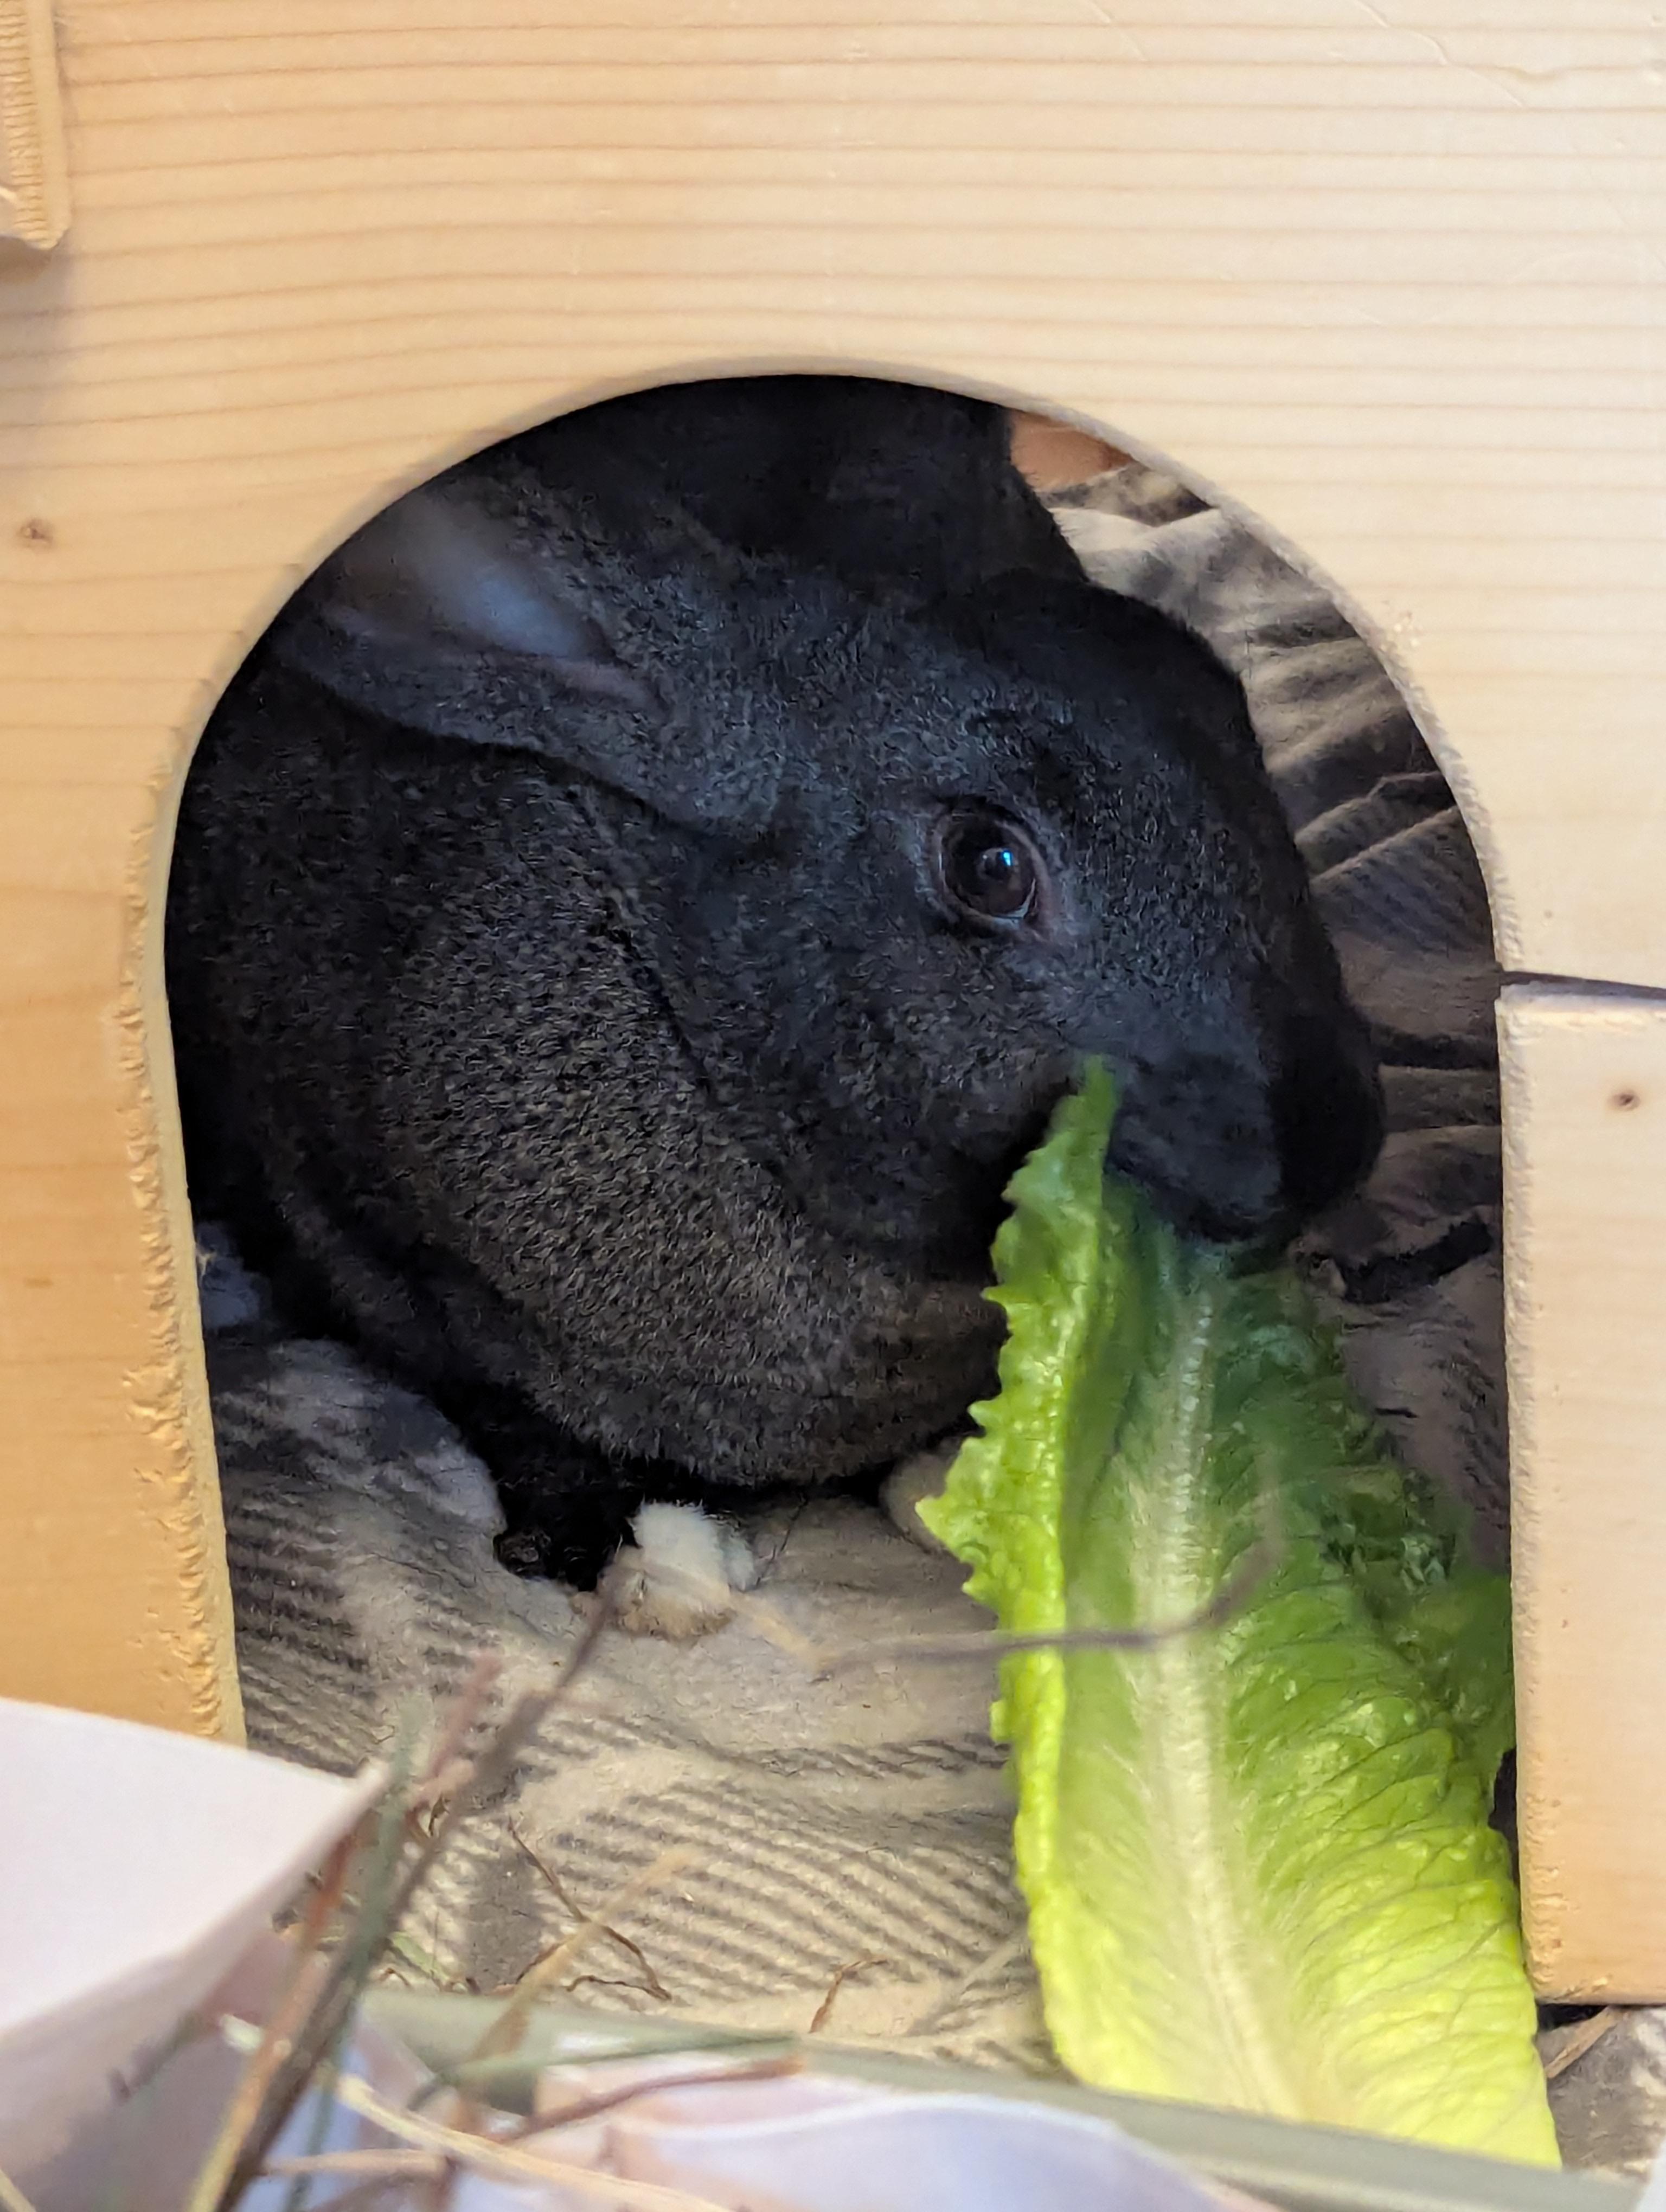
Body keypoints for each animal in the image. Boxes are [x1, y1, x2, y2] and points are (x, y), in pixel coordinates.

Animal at [166, 376, 1383, 1610]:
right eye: (988, 865)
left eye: (1233, 708)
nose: (1323, 1150)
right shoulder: (369, 1245)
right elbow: (501, 1408)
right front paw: (608, 1545)